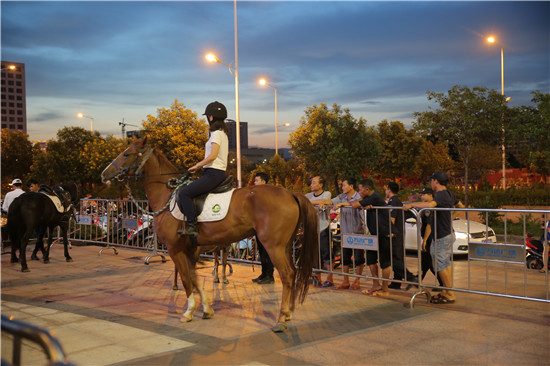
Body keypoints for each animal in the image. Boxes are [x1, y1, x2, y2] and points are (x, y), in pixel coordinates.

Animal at [100, 137, 320, 332]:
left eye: (126, 153)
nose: (104, 174)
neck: (168, 198)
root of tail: (291, 193)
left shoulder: (175, 249)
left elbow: (186, 279)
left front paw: (189, 311)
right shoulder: (192, 249)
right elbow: (194, 277)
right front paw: (206, 308)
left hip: (273, 246)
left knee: (287, 275)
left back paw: (281, 320)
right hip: (286, 246)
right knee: (293, 272)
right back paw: (288, 313)